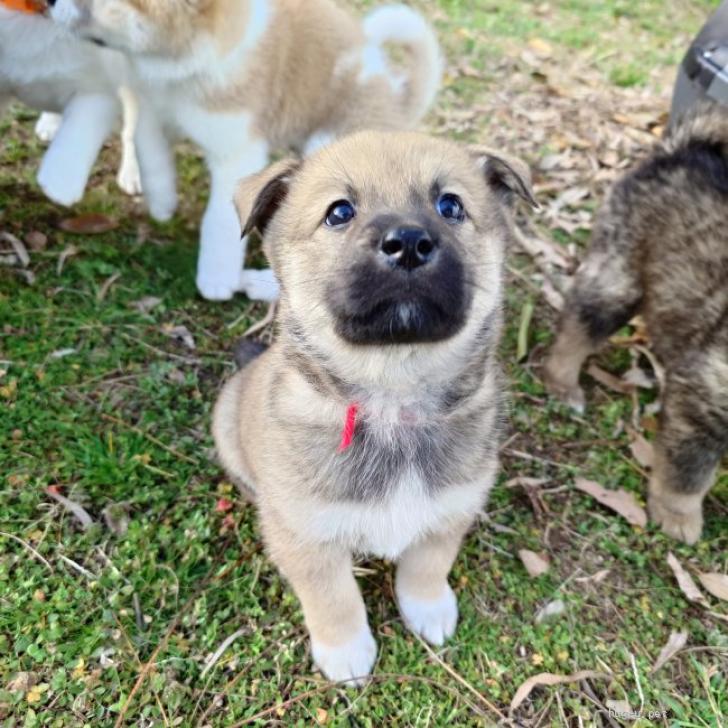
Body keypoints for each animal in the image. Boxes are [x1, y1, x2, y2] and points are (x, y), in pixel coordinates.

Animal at [49, 0, 443, 302]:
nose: (49, 2)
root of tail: (397, 96)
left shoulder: (237, 153)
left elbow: (220, 222)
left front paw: (216, 279)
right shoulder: (152, 107)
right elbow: (150, 152)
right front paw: (162, 203)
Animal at [212, 130, 536, 682]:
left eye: (450, 205)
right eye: (339, 212)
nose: (407, 243)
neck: (393, 401)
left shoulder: (451, 510)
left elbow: (428, 565)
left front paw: (428, 608)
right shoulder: (308, 538)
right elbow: (334, 598)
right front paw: (346, 651)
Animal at [543, 102, 728, 545]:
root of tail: (685, 152)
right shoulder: (704, 395)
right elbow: (688, 472)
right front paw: (678, 515)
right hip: (618, 279)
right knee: (578, 325)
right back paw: (563, 382)